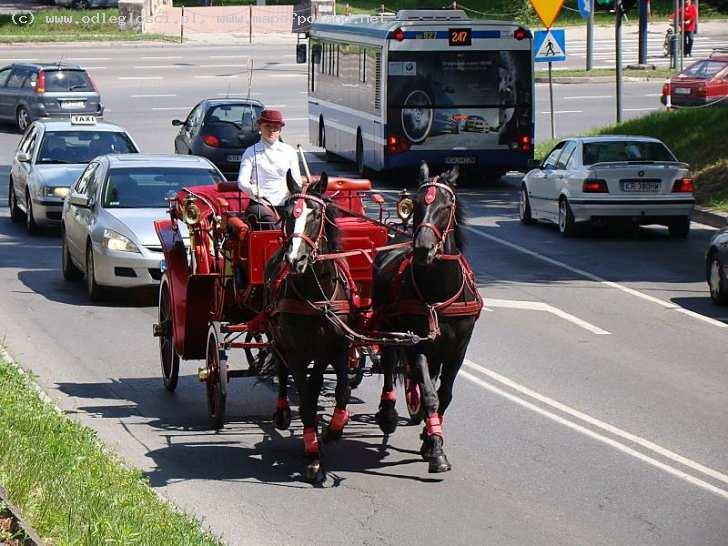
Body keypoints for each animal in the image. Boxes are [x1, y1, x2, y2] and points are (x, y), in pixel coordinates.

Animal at [266, 170, 354, 480]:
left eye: (316, 214)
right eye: (287, 214)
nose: (295, 259)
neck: (317, 297)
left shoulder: (334, 348)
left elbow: (339, 391)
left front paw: (334, 429)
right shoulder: (297, 354)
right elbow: (305, 399)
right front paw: (313, 452)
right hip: (276, 339)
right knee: (281, 372)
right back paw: (283, 412)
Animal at [372, 162, 480, 472]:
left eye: (446, 206)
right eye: (417, 204)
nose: (422, 248)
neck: (440, 293)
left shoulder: (458, 348)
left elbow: (444, 394)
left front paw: (431, 439)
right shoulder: (417, 344)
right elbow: (430, 394)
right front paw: (436, 450)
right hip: (387, 330)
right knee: (388, 365)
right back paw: (387, 413)